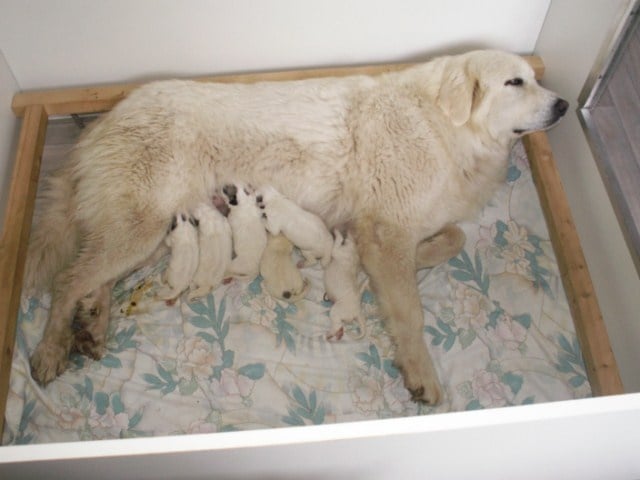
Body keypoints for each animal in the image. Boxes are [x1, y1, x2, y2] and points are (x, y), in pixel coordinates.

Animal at [25, 49, 568, 402]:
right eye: (515, 83)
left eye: (533, 78)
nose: (563, 104)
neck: (443, 124)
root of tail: (103, 119)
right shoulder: (386, 230)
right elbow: (411, 315)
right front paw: (421, 375)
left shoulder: (401, 226)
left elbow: (452, 237)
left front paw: (416, 256)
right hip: (142, 226)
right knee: (67, 279)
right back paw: (52, 349)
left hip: (157, 230)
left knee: (94, 276)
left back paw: (93, 324)